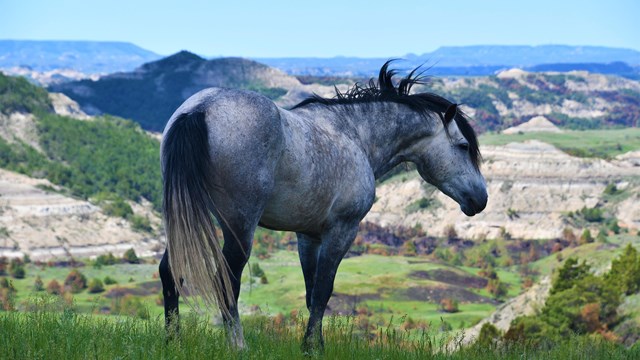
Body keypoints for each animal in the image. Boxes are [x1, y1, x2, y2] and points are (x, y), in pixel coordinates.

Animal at [159, 62, 484, 352]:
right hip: (239, 226)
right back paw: (238, 346)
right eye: (464, 146)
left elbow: (311, 293)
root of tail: (199, 110)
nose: (481, 199)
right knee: (226, 281)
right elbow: (323, 291)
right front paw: (312, 348)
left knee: (170, 271)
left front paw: (315, 345)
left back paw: (174, 341)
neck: (355, 135)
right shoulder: (341, 231)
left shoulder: (308, 236)